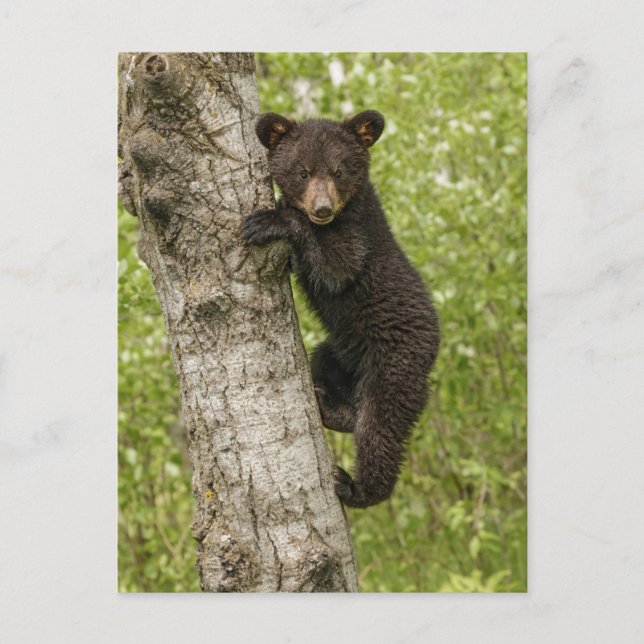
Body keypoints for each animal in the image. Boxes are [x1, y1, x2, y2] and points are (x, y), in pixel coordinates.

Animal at [242, 110, 440, 508]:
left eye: (338, 171)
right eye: (303, 171)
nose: (322, 208)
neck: (346, 211)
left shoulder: (359, 237)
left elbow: (337, 265)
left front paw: (268, 220)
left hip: (394, 365)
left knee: (380, 428)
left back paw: (356, 487)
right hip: (339, 351)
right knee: (328, 371)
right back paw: (329, 407)